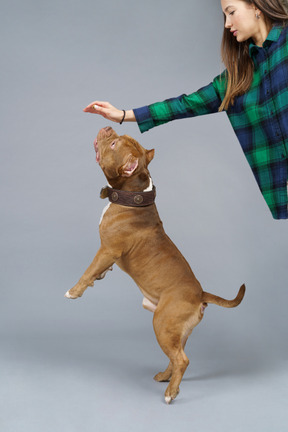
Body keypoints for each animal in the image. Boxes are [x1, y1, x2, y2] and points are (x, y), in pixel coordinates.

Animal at [66, 126, 245, 404]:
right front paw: (100, 278)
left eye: (114, 144)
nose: (108, 128)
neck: (134, 195)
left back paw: (171, 393)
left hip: (162, 323)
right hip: (176, 331)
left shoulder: (107, 250)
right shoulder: (109, 255)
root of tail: (200, 294)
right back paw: (165, 377)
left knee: (182, 360)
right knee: (176, 355)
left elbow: (88, 270)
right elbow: (98, 271)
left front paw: (74, 292)